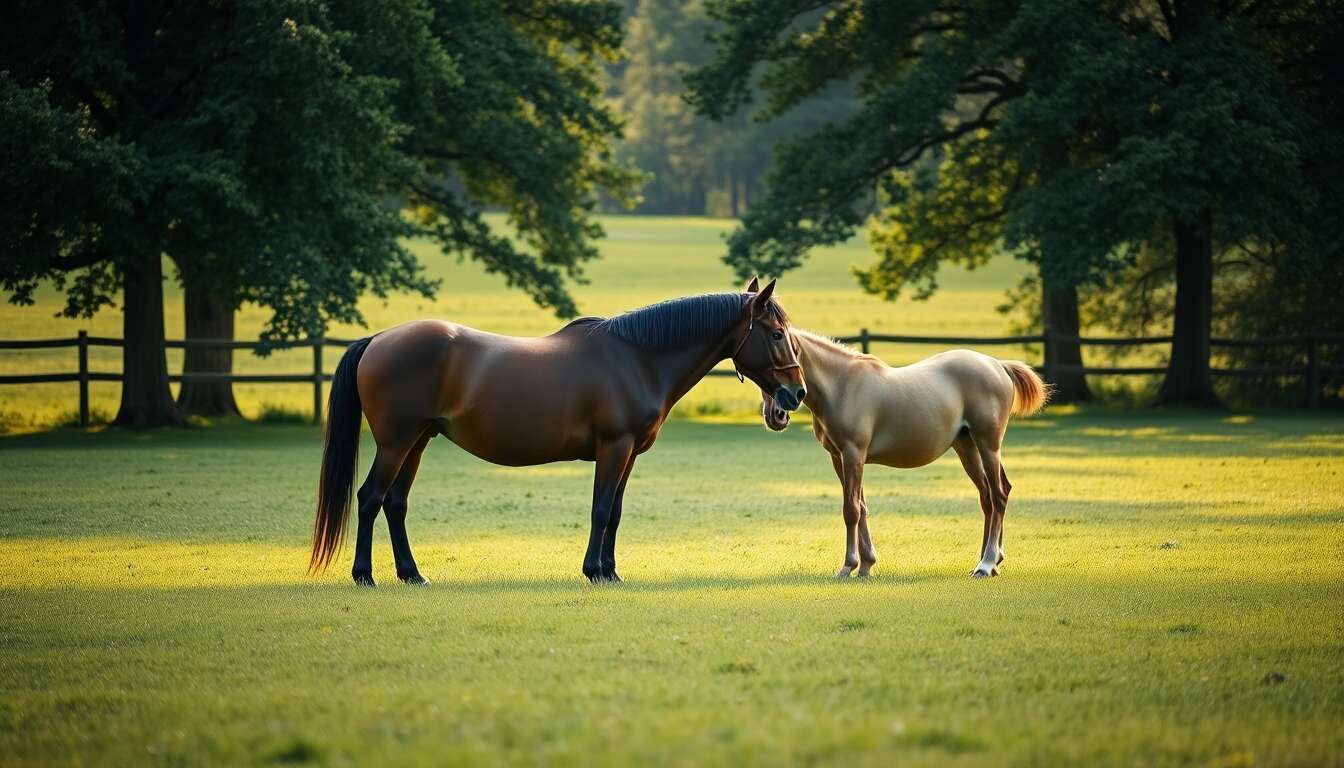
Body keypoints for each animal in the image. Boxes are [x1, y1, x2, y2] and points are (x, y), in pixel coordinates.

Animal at [310, 278, 808, 586]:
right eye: (776, 333)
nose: (796, 393)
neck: (638, 357)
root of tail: (377, 340)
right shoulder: (614, 447)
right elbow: (601, 509)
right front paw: (594, 571)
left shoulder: (629, 454)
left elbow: (616, 512)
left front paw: (611, 571)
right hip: (395, 443)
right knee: (371, 498)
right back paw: (364, 574)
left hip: (417, 442)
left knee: (395, 503)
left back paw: (412, 574)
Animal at [760, 330, 1049, 579]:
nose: (777, 416)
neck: (842, 385)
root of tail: (997, 365)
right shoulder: (839, 458)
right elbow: (861, 507)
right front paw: (866, 566)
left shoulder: (853, 454)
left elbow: (851, 509)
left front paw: (848, 567)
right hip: (967, 448)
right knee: (989, 496)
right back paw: (990, 561)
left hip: (988, 444)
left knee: (999, 495)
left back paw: (986, 564)